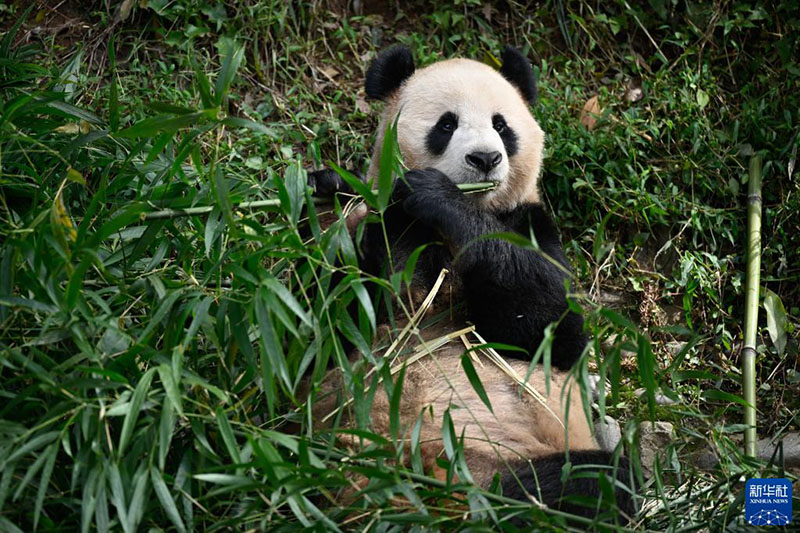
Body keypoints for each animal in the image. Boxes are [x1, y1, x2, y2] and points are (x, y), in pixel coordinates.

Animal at [308, 46, 636, 524]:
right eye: (447, 124)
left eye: (502, 126)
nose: (485, 159)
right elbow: (322, 325)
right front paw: (327, 188)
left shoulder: (529, 225)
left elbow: (551, 330)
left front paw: (437, 195)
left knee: (596, 484)